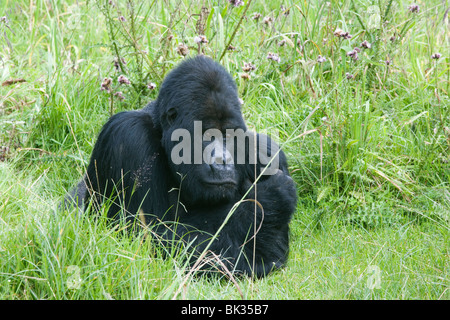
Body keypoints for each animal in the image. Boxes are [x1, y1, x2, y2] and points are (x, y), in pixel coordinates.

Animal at [65, 55, 298, 278]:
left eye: (229, 135)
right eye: (206, 134)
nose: (222, 160)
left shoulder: (268, 152)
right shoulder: (127, 136)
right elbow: (142, 241)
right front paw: (266, 201)